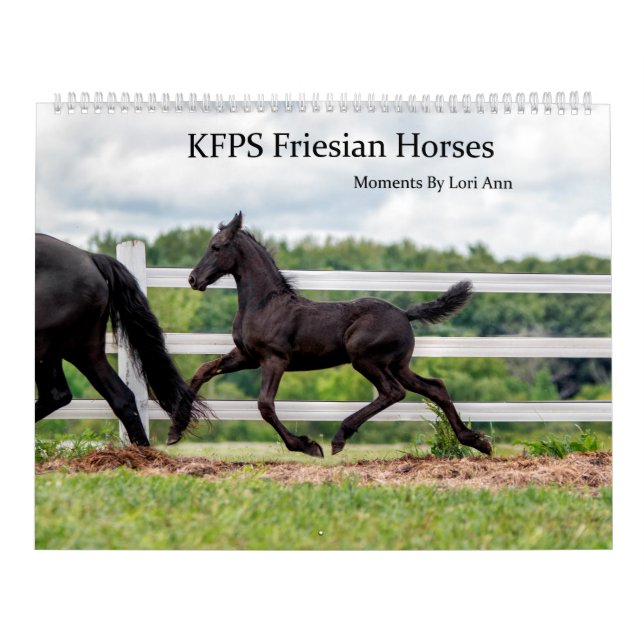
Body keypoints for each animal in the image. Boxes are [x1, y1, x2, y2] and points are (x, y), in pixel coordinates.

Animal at [167, 212, 492, 458]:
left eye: (217, 246)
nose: (193, 279)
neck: (264, 304)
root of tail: (404, 313)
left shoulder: (274, 359)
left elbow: (265, 405)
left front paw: (306, 445)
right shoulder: (247, 356)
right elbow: (203, 370)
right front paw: (174, 431)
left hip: (364, 358)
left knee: (393, 392)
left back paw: (339, 436)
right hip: (398, 364)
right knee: (435, 387)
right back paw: (477, 441)